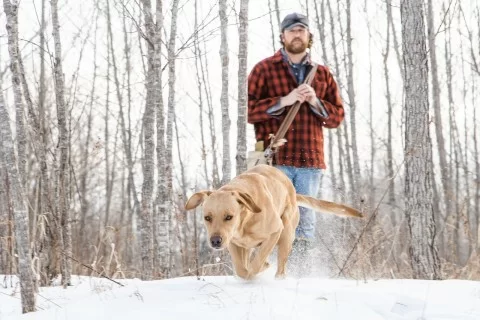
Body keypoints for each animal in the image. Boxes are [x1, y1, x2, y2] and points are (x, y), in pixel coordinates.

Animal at [186, 164, 362, 278]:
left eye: (229, 216)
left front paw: (261, 267)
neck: (245, 220)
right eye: (207, 218)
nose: (215, 241)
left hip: (286, 233)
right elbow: (242, 270)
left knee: (281, 268)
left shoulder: (275, 231)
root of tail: (293, 192)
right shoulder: (234, 243)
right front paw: (247, 272)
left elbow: (256, 264)